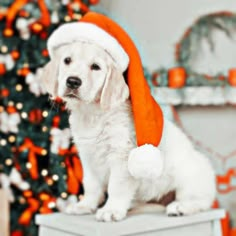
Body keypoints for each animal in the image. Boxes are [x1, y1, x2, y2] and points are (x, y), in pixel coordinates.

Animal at [42, 41, 216, 221]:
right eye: (67, 60)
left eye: (95, 67)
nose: (73, 81)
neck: (93, 114)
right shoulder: (88, 156)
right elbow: (91, 185)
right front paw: (84, 206)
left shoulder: (122, 156)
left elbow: (116, 187)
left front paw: (111, 209)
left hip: (191, 177)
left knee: (200, 201)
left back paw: (180, 207)